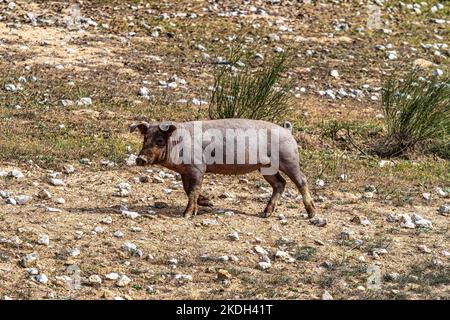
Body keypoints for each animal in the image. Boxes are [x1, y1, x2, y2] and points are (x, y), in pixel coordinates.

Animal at [128, 119, 314, 219]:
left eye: (159, 140)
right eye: (145, 138)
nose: (140, 159)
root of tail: (287, 130)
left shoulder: (198, 167)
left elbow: (193, 190)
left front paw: (187, 215)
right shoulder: (185, 171)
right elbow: (188, 189)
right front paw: (208, 203)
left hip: (289, 158)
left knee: (301, 180)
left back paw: (311, 214)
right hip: (266, 167)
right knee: (280, 183)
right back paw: (265, 213)